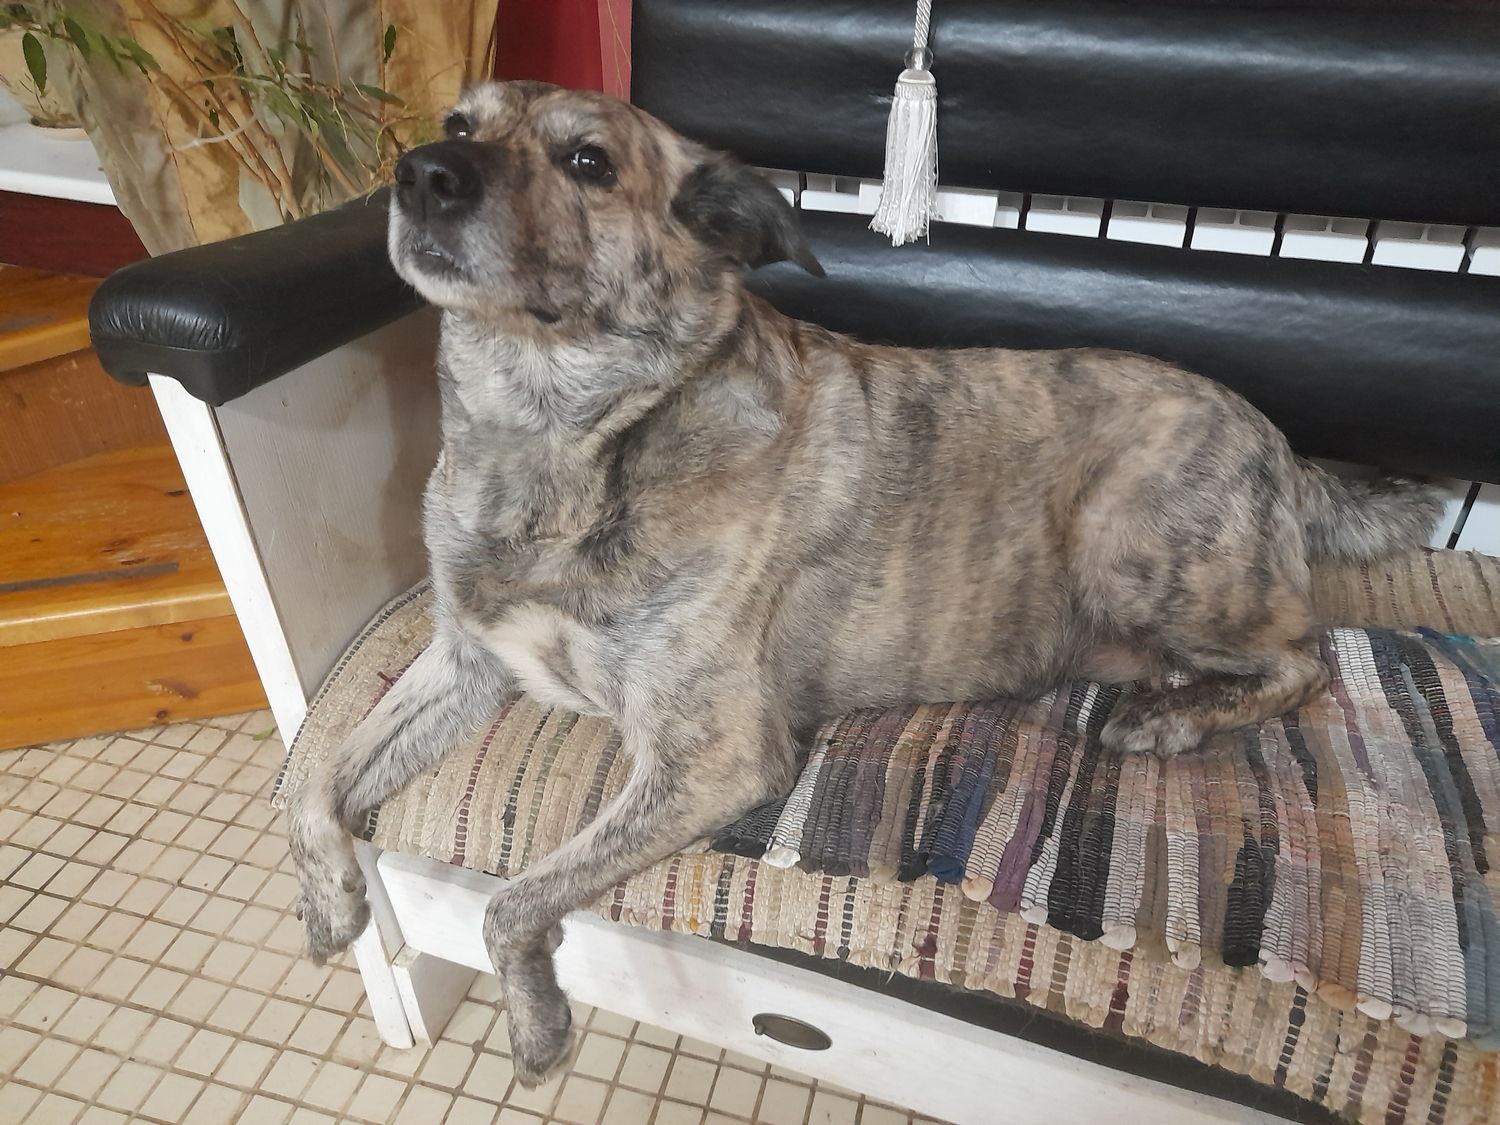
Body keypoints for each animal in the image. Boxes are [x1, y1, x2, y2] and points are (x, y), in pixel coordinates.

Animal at [286, 80, 1441, 1083]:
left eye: (589, 162)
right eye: (457, 122)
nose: (420, 172)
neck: (554, 442)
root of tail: (1282, 444)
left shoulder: (711, 758)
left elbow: (512, 900)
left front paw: (535, 1021)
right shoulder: (466, 661)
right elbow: (309, 780)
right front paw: (333, 901)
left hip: (1141, 545)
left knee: (1306, 658)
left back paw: (1174, 717)